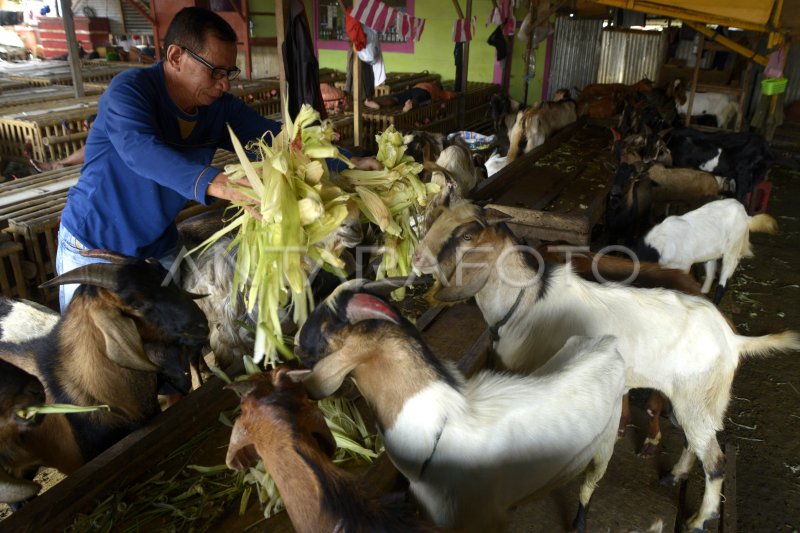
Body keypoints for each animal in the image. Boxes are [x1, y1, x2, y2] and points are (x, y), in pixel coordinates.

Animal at [294, 280, 624, 528]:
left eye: (325, 325)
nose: (296, 344)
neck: (440, 425)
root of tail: (609, 344)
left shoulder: (485, 520)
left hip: (606, 443)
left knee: (590, 484)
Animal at [640, 197, 780, 304]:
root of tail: (745, 214)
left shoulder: (683, 267)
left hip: (732, 249)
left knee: (723, 279)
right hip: (711, 254)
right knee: (710, 275)